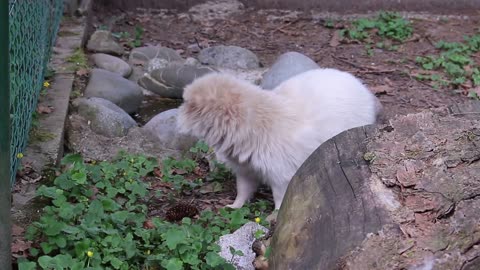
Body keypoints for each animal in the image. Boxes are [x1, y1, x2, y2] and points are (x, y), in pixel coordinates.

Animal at [174, 68, 380, 210]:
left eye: (185, 102)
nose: (177, 111)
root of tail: (362, 87)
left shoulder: (281, 171)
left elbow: (281, 195)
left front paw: (275, 215)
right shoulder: (245, 165)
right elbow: (243, 187)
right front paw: (234, 206)